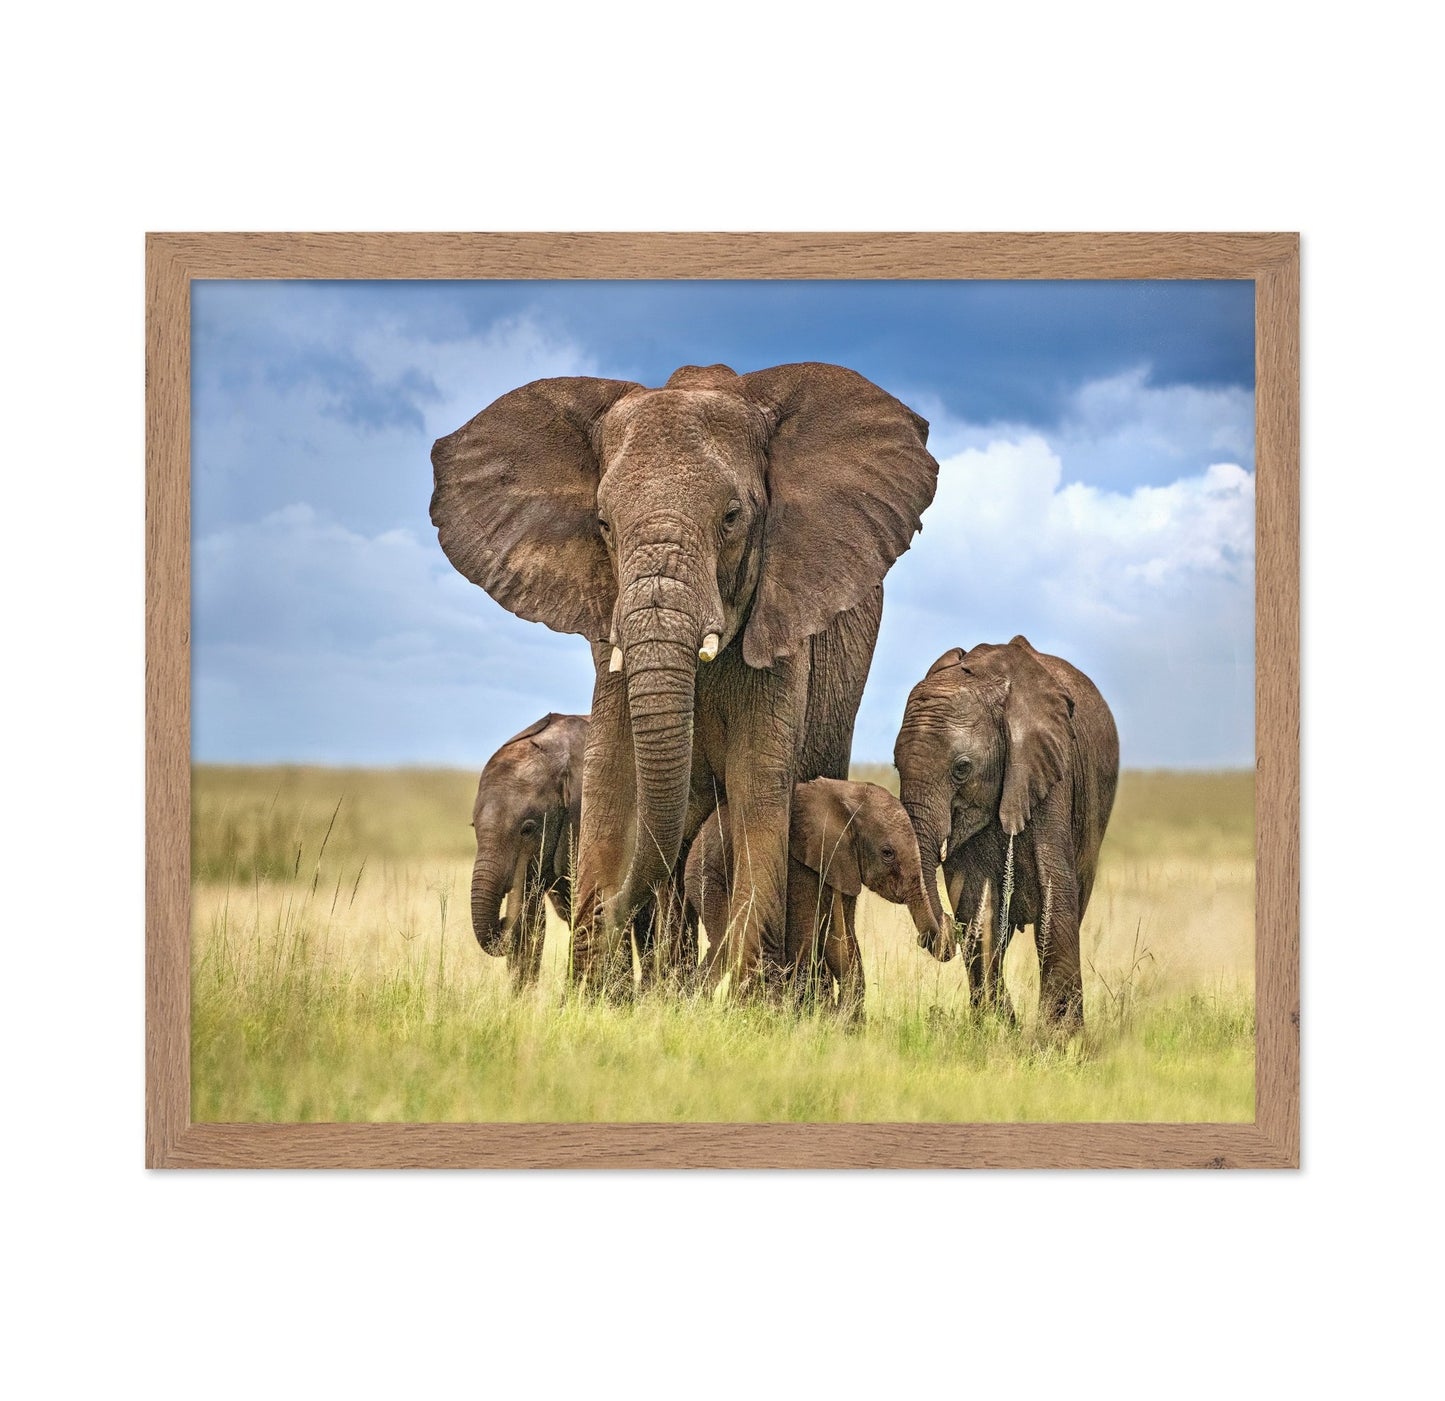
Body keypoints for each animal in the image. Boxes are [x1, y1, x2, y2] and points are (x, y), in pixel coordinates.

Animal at [684, 778, 946, 1019]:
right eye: (887, 853)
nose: (923, 939)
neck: (847, 798)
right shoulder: (800, 863)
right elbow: (806, 934)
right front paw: (812, 1015)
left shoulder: (843, 864)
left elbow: (840, 937)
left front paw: (842, 1021)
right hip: (707, 877)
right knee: (725, 941)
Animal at [893, 637, 1119, 1030]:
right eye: (895, 765)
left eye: (962, 769)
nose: (946, 930)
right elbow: (975, 904)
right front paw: (997, 1028)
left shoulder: (1050, 771)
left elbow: (1054, 891)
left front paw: (1059, 1036)